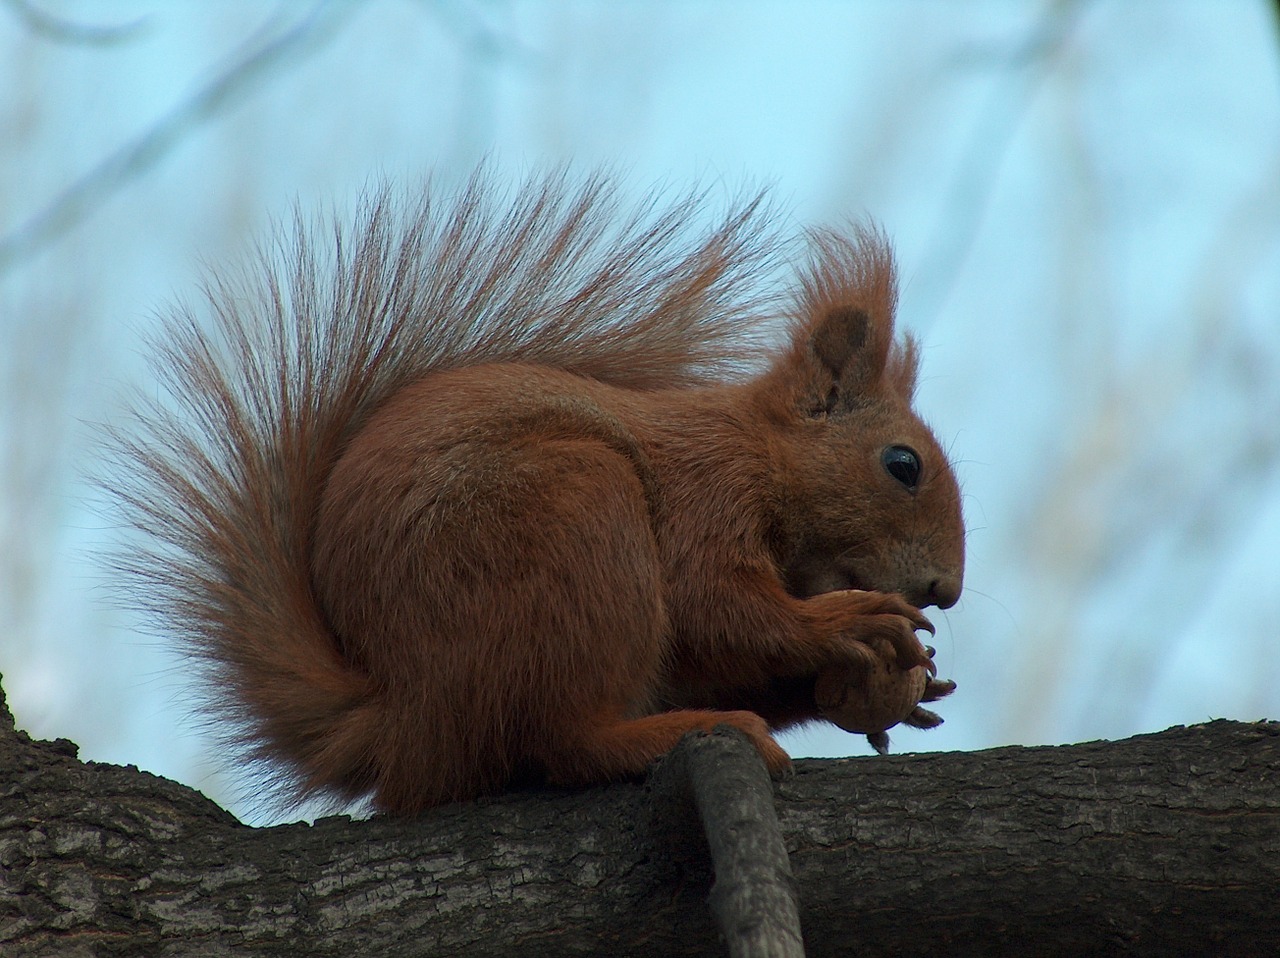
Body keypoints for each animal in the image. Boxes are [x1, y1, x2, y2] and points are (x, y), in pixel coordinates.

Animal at [115, 167, 962, 814]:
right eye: (903, 465)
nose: (945, 590)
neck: (758, 454)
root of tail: (403, 722)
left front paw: (891, 688)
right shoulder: (705, 493)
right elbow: (718, 607)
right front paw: (845, 622)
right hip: (575, 516)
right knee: (561, 739)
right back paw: (664, 734)